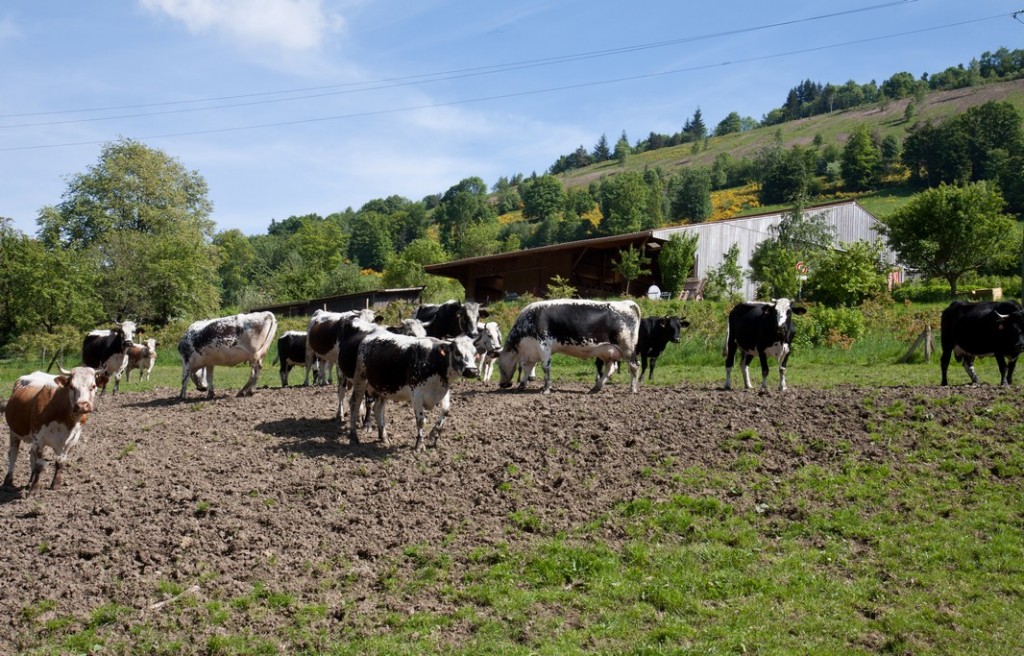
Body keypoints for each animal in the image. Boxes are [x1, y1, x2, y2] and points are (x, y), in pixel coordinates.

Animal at [348, 331, 479, 450]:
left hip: (382, 388)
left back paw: (384, 438)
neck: (433, 361)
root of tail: (368, 338)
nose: (472, 371)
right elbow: (421, 421)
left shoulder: (443, 391)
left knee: (378, 409)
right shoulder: (416, 395)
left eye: (475, 353)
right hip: (361, 380)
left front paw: (434, 434)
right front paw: (419, 445)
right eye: (457, 352)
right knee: (355, 404)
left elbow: (446, 411)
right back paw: (353, 437)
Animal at [497, 298, 638, 392]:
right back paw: (596, 388)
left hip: (627, 348)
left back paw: (633, 389)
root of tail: (625, 303)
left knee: (634, 366)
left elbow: (545, 367)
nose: (502, 384)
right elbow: (527, 368)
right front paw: (521, 385)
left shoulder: (544, 345)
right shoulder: (531, 352)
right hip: (607, 350)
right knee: (610, 367)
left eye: (499, 365)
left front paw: (546, 389)